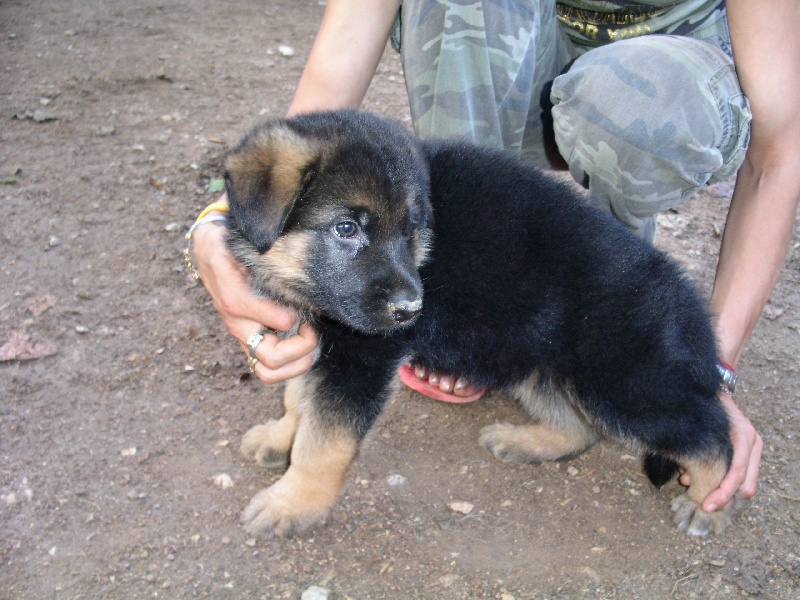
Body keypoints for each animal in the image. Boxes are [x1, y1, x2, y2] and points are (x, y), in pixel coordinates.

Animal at [222, 108, 736, 540]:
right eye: (346, 229)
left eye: (411, 231)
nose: (412, 310)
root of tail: (684, 305)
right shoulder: (319, 341)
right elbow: (298, 398)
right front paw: (282, 435)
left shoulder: (362, 359)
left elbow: (325, 442)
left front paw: (293, 503)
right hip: (541, 362)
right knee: (582, 429)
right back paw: (526, 441)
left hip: (625, 382)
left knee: (711, 432)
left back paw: (709, 502)